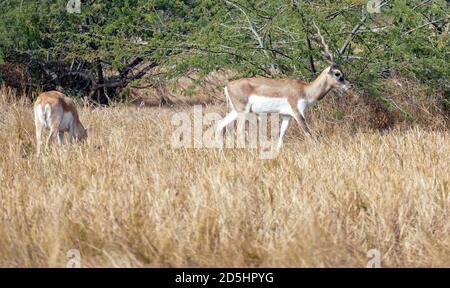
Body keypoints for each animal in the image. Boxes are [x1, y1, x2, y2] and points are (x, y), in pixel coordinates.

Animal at [217, 19, 352, 150]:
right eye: (338, 73)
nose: (349, 85)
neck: (305, 90)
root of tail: (227, 86)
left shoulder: (287, 115)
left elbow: (282, 134)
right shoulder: (297, 113)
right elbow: (308, 133)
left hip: (235, 111)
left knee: (220, 125)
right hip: (242, 111)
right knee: (239, 131)